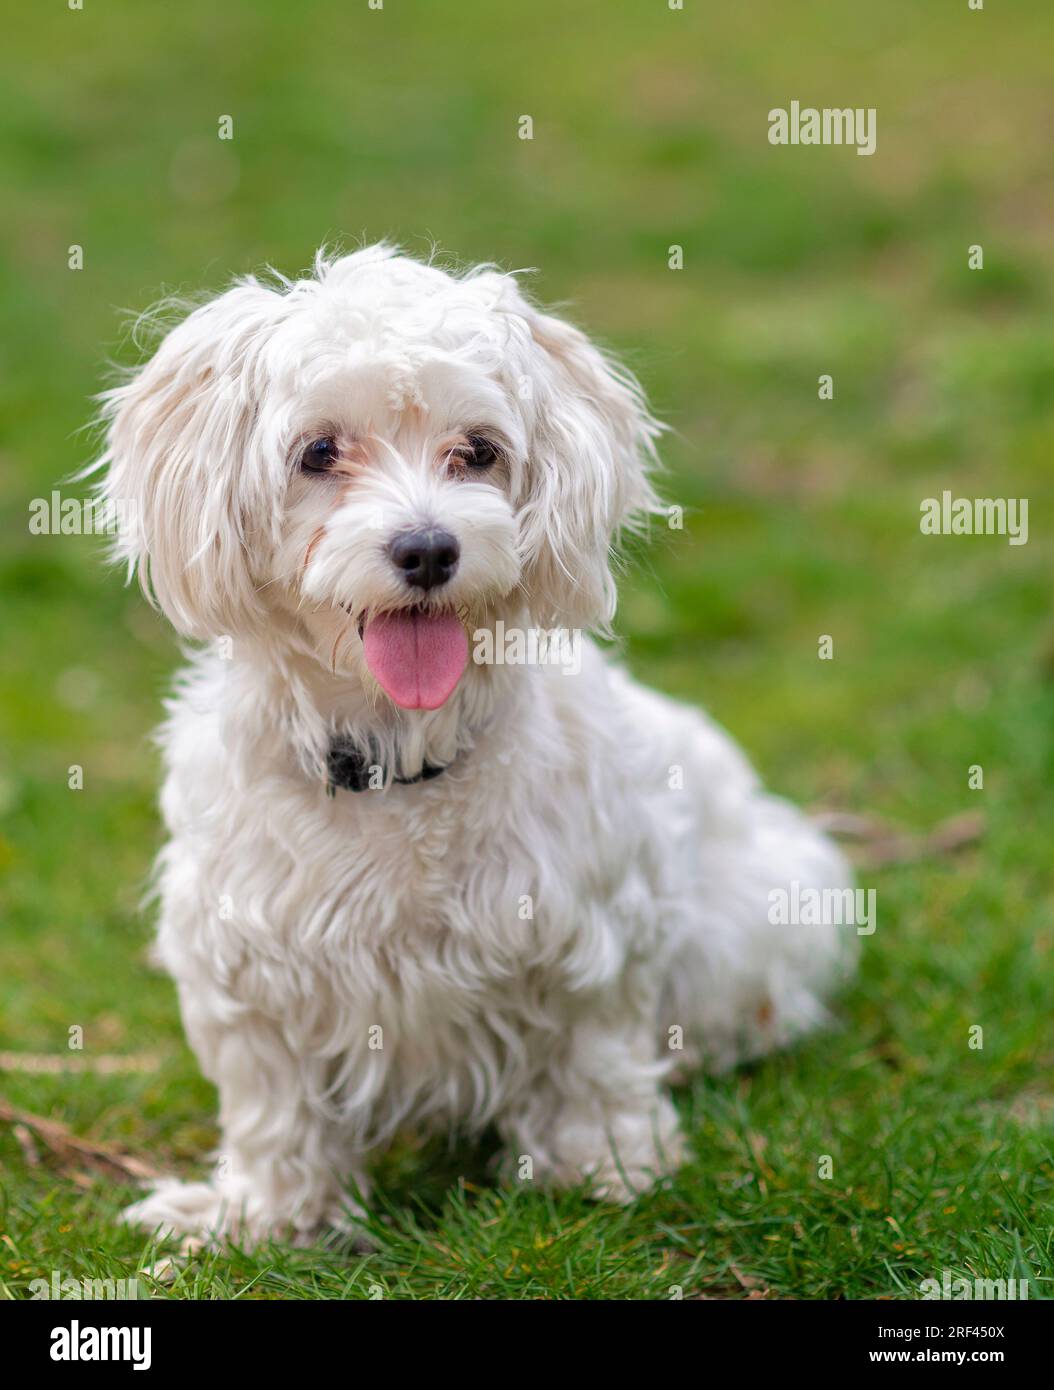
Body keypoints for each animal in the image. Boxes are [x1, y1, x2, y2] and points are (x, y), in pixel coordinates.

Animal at [97, 244, 856, 1245]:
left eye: (479, 451)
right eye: (319, 452)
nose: (427, 549)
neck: (397, 759)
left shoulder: (593, 934)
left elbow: (593, 1060)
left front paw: (604, 1166)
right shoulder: (246, 964)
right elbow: (275, 1104)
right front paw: (266, 1213)